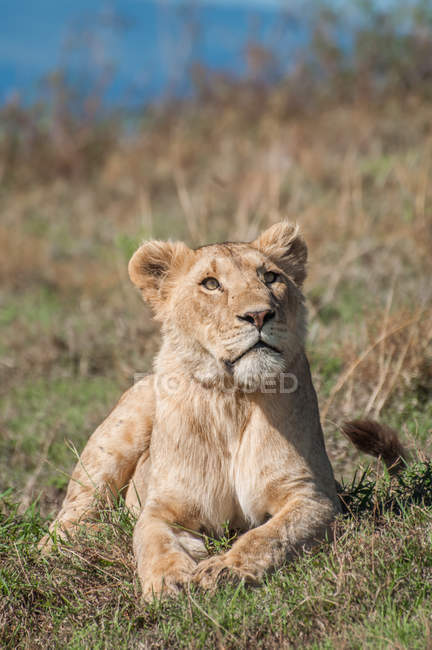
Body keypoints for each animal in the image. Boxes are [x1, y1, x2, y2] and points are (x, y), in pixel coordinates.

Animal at [38, 221, 408, 596]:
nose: (259, 314)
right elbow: (152, 541)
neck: (232, 398)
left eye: (270, 277)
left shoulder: (311, 496)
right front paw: (168, 582)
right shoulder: (164, 508)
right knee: (65, 521)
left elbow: (268, 536)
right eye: (211, 284)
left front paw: (225, 569)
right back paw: (94, 536)